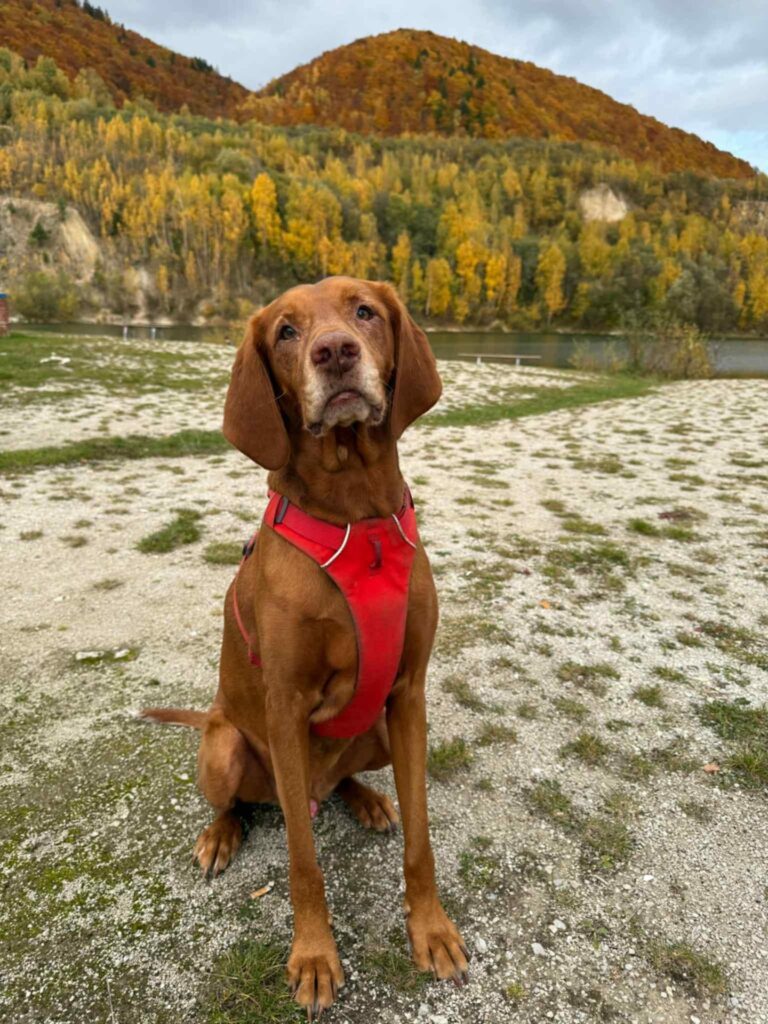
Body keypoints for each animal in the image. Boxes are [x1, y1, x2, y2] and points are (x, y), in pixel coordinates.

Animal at [143, 276, 469, 1017]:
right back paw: (220, 834)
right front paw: (315, 957)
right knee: (241, 802)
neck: (356, 517)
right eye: (286, 332)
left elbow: (421, 840)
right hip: (226, 747)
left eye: (365, 312)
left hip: (375, 731)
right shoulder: (287, 708)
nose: (336, 351)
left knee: (346, 777)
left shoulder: (408, 695)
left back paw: (365, 798)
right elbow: (301, 859)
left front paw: (432, 930)